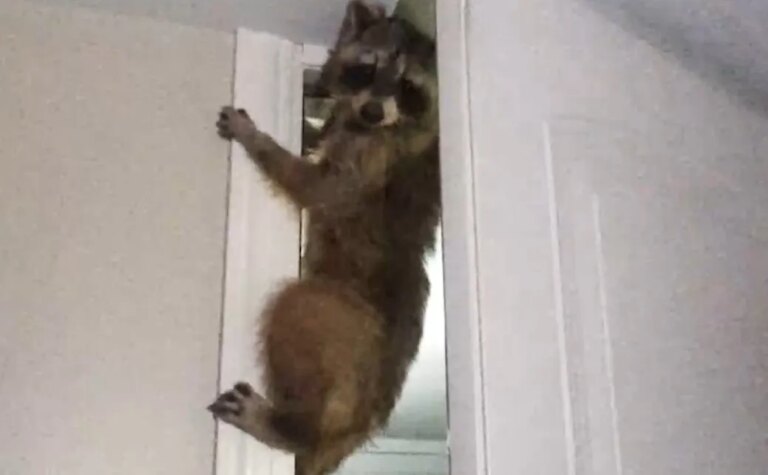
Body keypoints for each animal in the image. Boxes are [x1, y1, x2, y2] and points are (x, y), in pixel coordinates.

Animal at [209, 2, 440, 474]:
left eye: (407, 86)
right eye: (366, 69)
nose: (373, 112)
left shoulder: (372, 157)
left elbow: (318, 188)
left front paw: (259, 142)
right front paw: (309, 123)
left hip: (344, 326)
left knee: (297, 303)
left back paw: (286, 427)